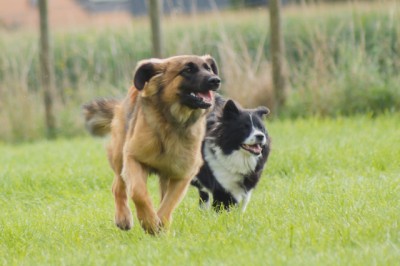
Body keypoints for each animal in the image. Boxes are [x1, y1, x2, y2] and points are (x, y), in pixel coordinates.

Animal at [83, 55, 220, 234]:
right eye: (188, 70)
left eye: (208, 68)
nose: (215, 80)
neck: (172, 123)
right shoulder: (133, 158)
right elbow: (139, 193)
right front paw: (149, 222)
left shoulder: (182, 174)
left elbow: (168, 204)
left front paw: (159, 224)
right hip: (119, 156)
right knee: (118, 186)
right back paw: (123, 218)